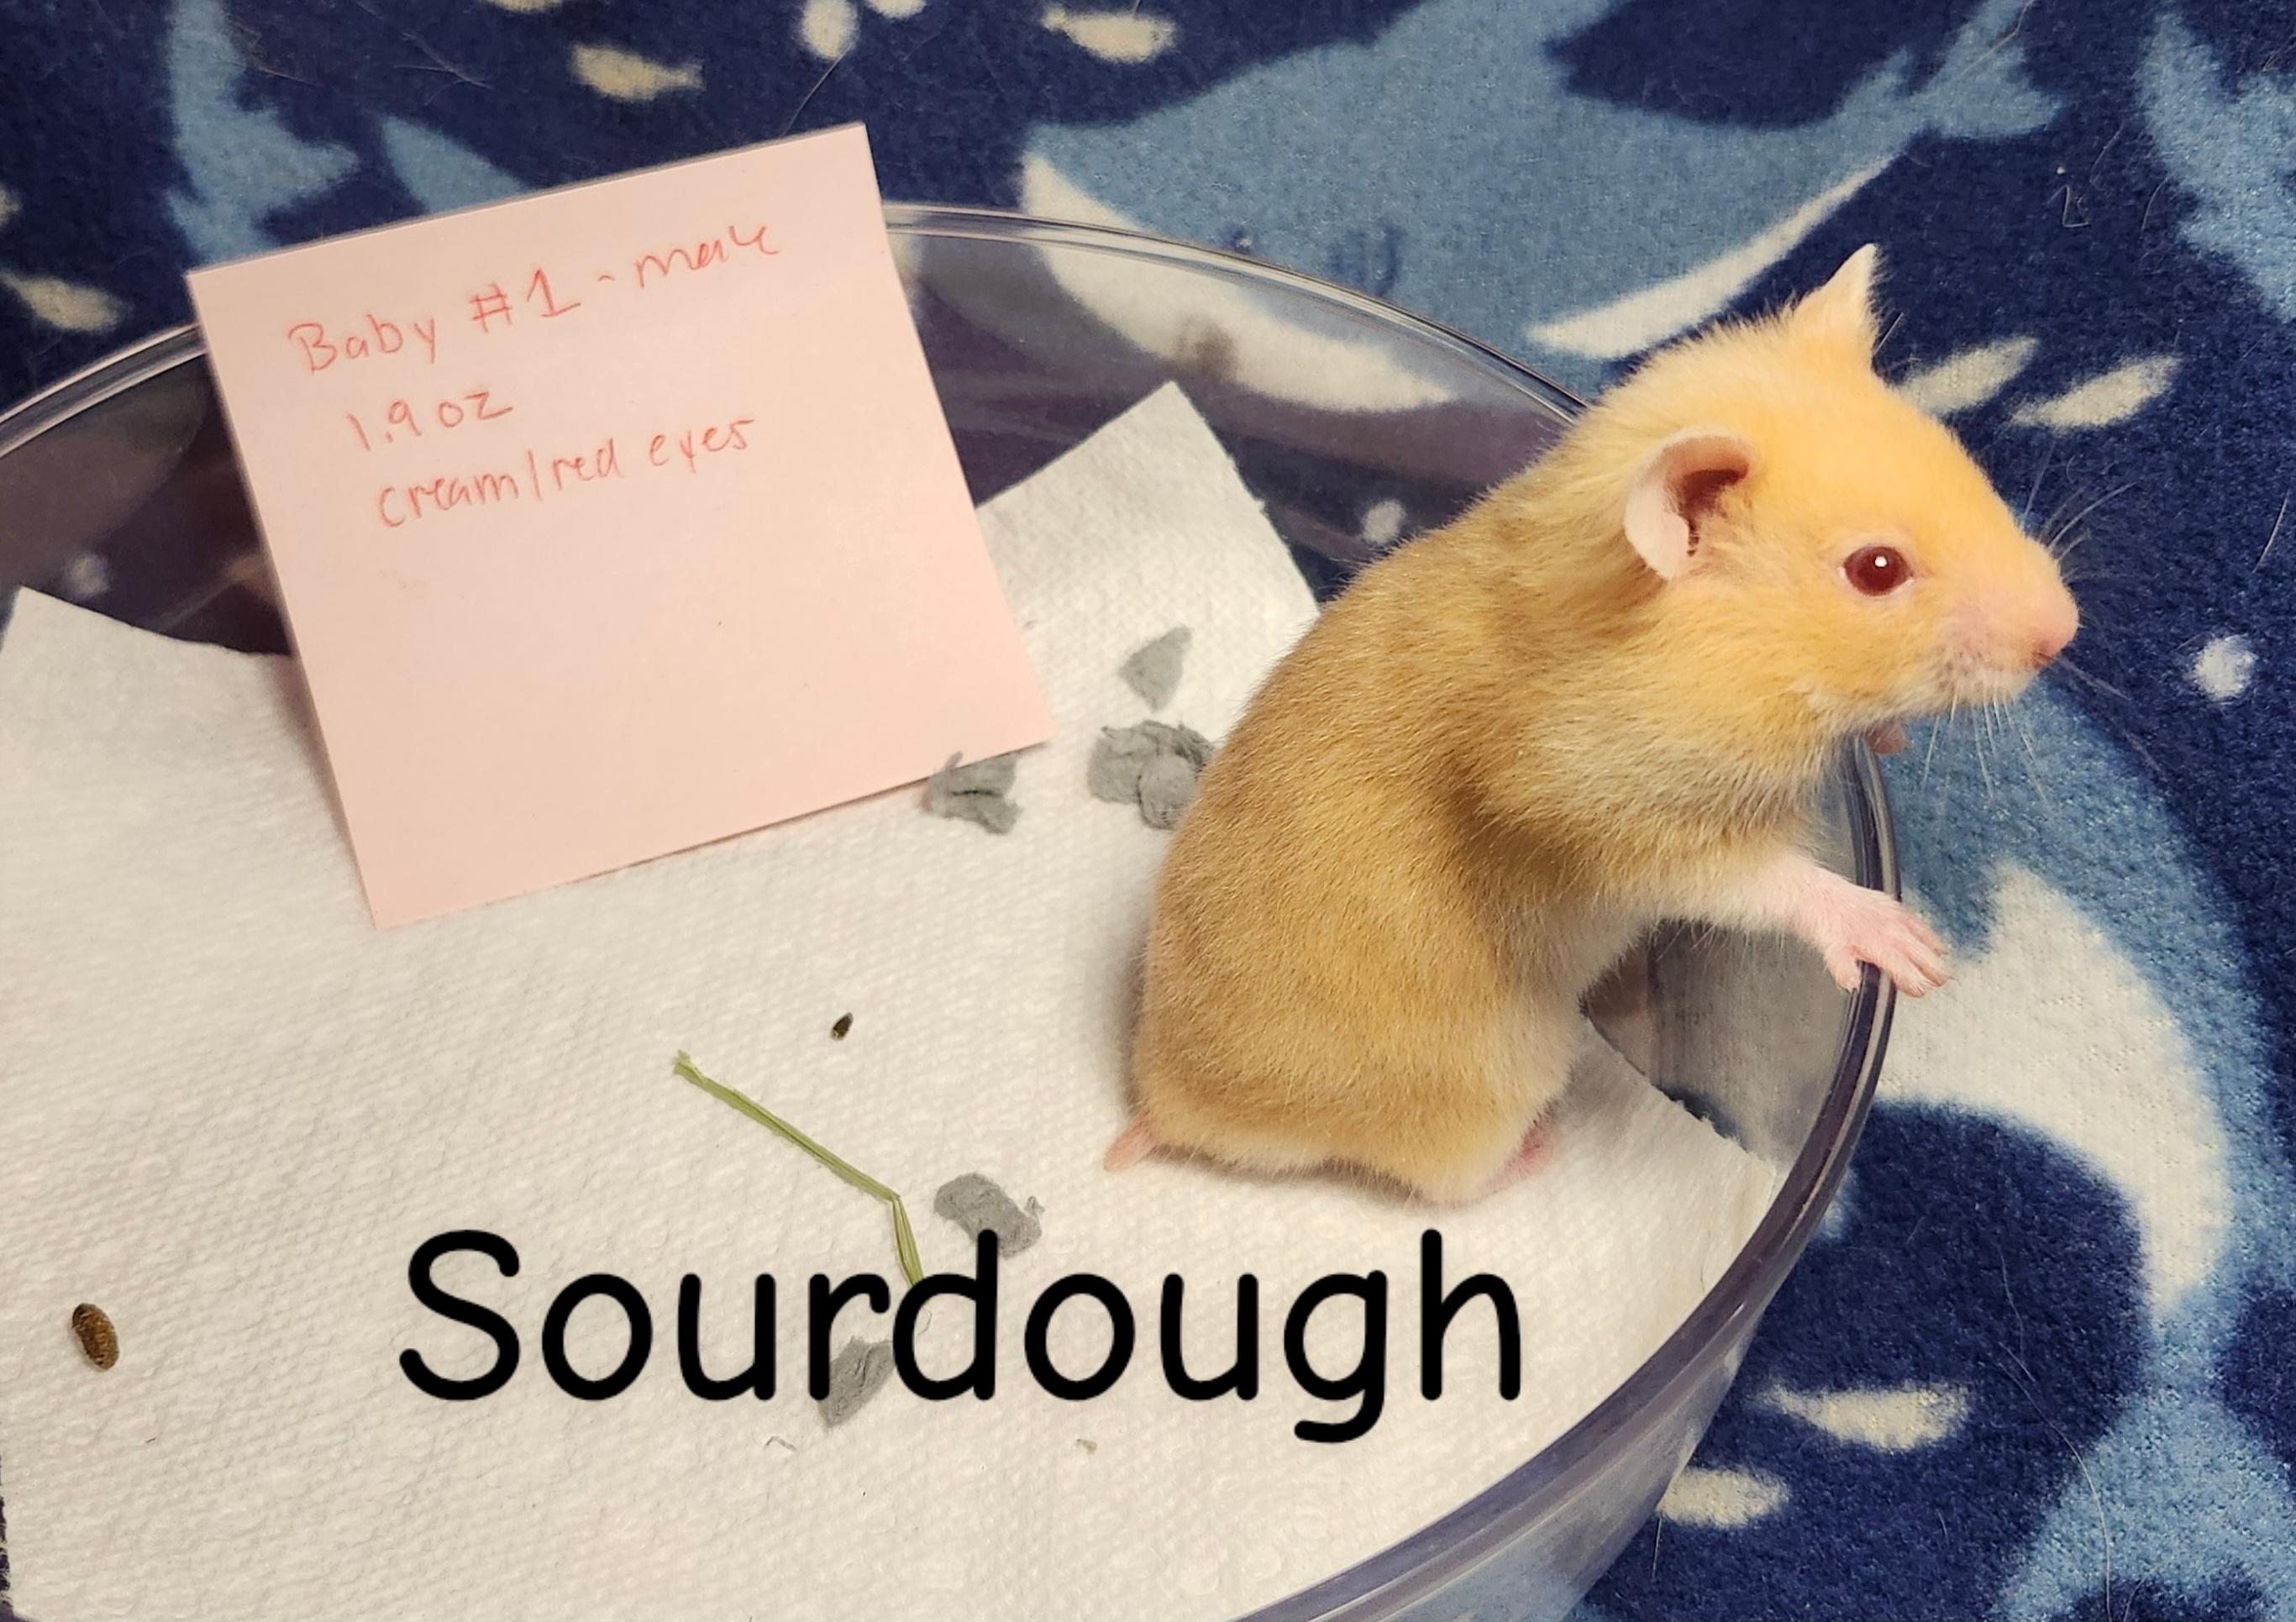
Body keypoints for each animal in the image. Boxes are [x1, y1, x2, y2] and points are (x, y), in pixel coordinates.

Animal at [1109, 247, 2077, 1204]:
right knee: (1458, 1180)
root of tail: (1166, 1101)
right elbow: (1763, 879)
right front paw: (1912, 950)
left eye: (1960, 458)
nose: (2065, 632)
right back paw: (1544, 1147)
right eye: (1875, 569)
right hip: (1490, 1085)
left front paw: (1885, 739)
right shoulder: (1613, 816)